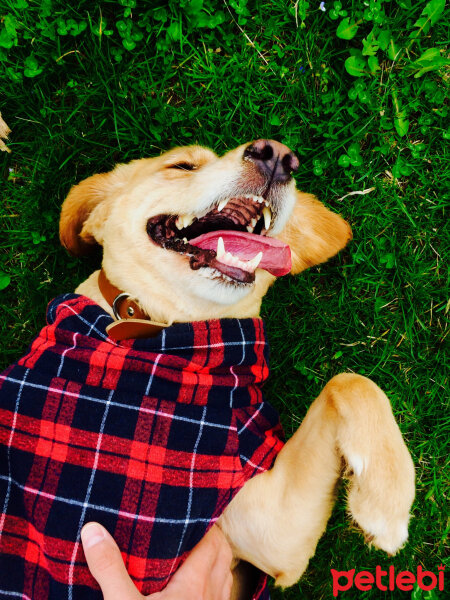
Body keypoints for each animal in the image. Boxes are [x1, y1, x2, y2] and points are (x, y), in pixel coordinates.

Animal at [0, 141, 414, 600]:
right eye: (182, 165)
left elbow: (351, 383)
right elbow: (351, 383)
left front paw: (383, 496)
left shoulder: (268, 533)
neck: (155, 333)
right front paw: (388, 504)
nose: (277, 156)